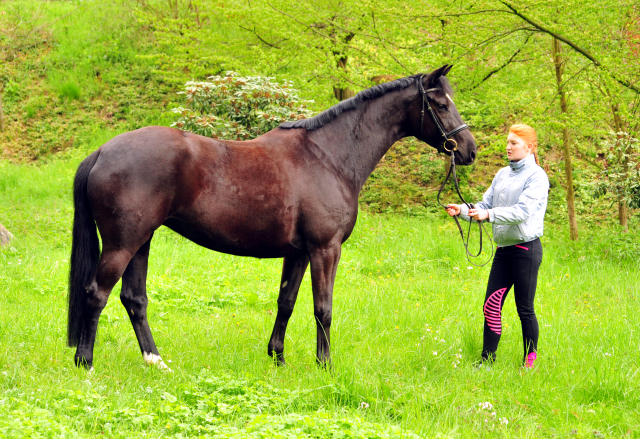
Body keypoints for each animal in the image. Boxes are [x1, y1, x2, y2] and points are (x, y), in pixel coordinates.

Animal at [67, 63, 476, 370]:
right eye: (440, 104)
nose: (469, 150)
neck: (328, 156)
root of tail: (102, 151)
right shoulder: (325, 250)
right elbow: (323, 308)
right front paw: (325, 365)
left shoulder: (297, 253)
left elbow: (286, 302)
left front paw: (277, 357)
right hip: (123, 243)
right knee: (96, 293)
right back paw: (86, 362)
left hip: (141, 240)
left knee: (134, 299)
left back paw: (156, 361)